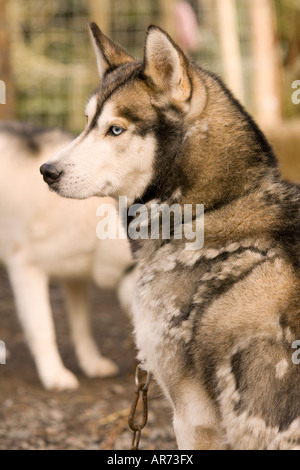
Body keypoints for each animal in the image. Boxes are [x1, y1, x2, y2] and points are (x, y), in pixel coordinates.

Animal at [0, 120, 134, 390]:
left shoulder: (75, 276)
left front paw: (91, 363)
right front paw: (54, 375)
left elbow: (81, 326)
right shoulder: (25, 268)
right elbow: (43, 329)